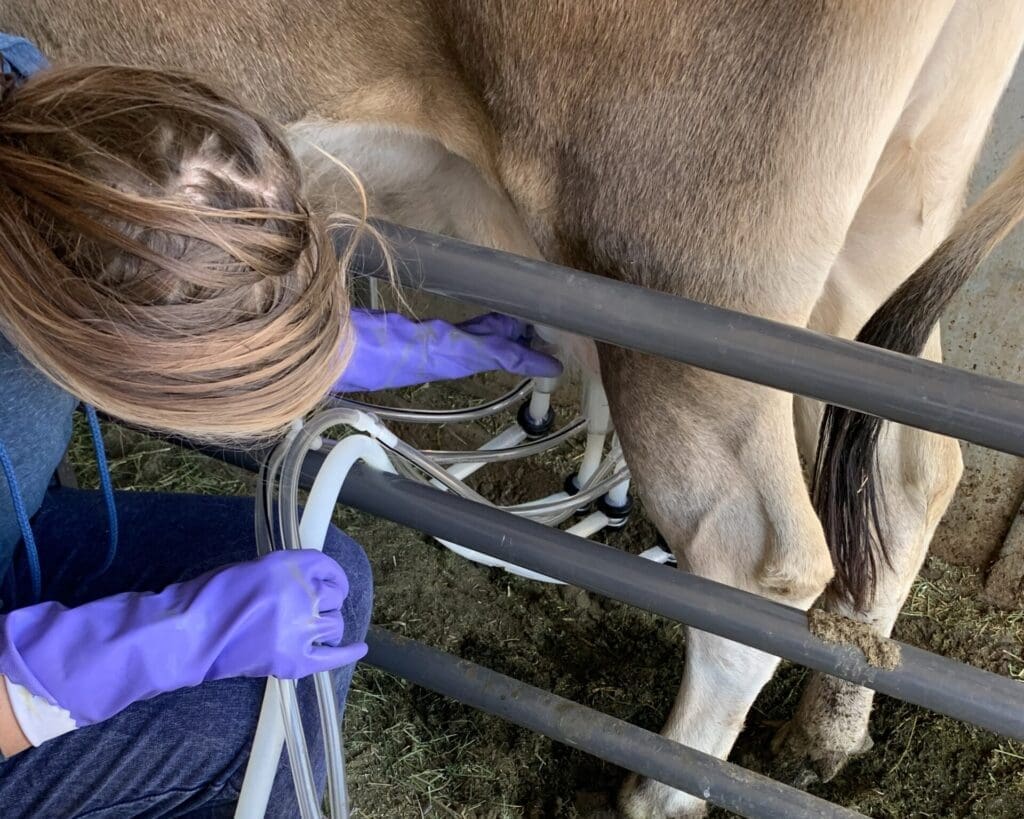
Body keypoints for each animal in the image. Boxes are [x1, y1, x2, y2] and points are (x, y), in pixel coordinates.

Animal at [8, 3, 1024, 814]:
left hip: (688, 271)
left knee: (759, 558)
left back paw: (661, 791)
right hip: (886, 234)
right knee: (910, 477)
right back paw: (825, 734)